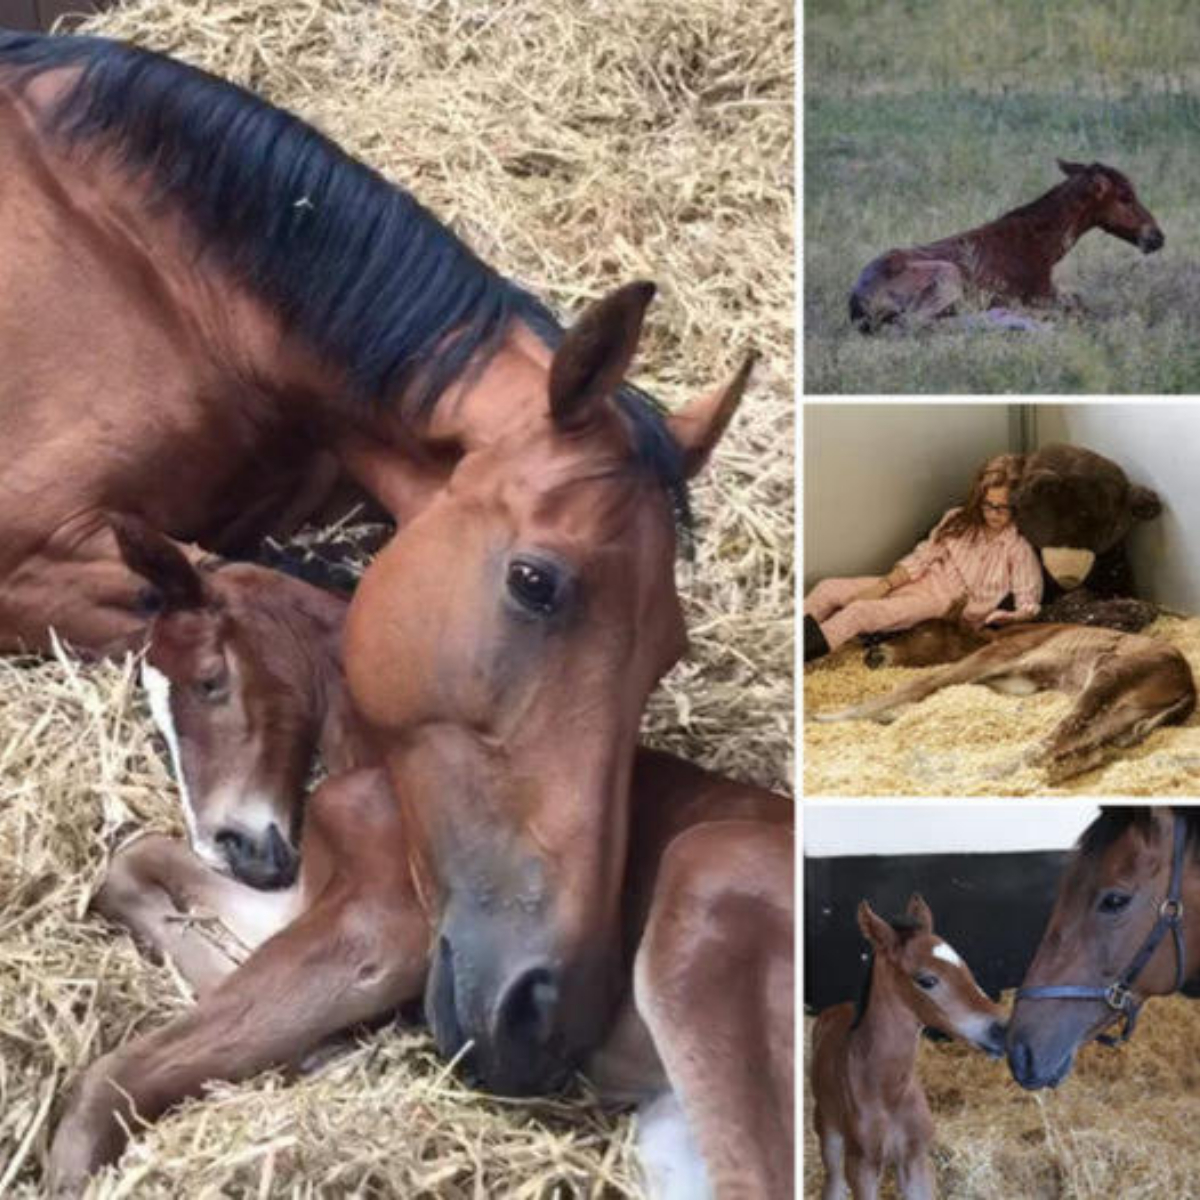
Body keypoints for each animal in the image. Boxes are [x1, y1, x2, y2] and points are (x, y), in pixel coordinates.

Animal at [0, 28, 748, 1089]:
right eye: (535, 584)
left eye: (670, 650)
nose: (548, 1013)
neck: (149, 271)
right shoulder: (31, 564)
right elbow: (242, 592)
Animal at [811, 614, 1195, 782]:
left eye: (918, 629)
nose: (871, 651)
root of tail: (1188, 685)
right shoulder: (1011, 683)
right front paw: (886, 718)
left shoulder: (992, 659)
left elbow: (921, 685)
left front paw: (825, 717)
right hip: (1120, 716)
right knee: (1085, 748)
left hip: (1107, 678)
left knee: (1058, 737)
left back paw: (986, 774)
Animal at [811, 897, 1008, 1195]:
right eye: (926, 980)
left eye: (964, 968)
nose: (1001, 1029)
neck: (888, 1090)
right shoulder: (862, 1167)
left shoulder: (916, 1160)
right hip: (830, 1134)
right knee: (833, 1182)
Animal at [849, 158, 1166, 333]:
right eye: (1125, 196)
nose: (1157, 237)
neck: (1050, 249)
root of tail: (857, 305)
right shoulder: (1039, 294)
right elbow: (1081, 309)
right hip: (947, 274)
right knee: (911, 324)